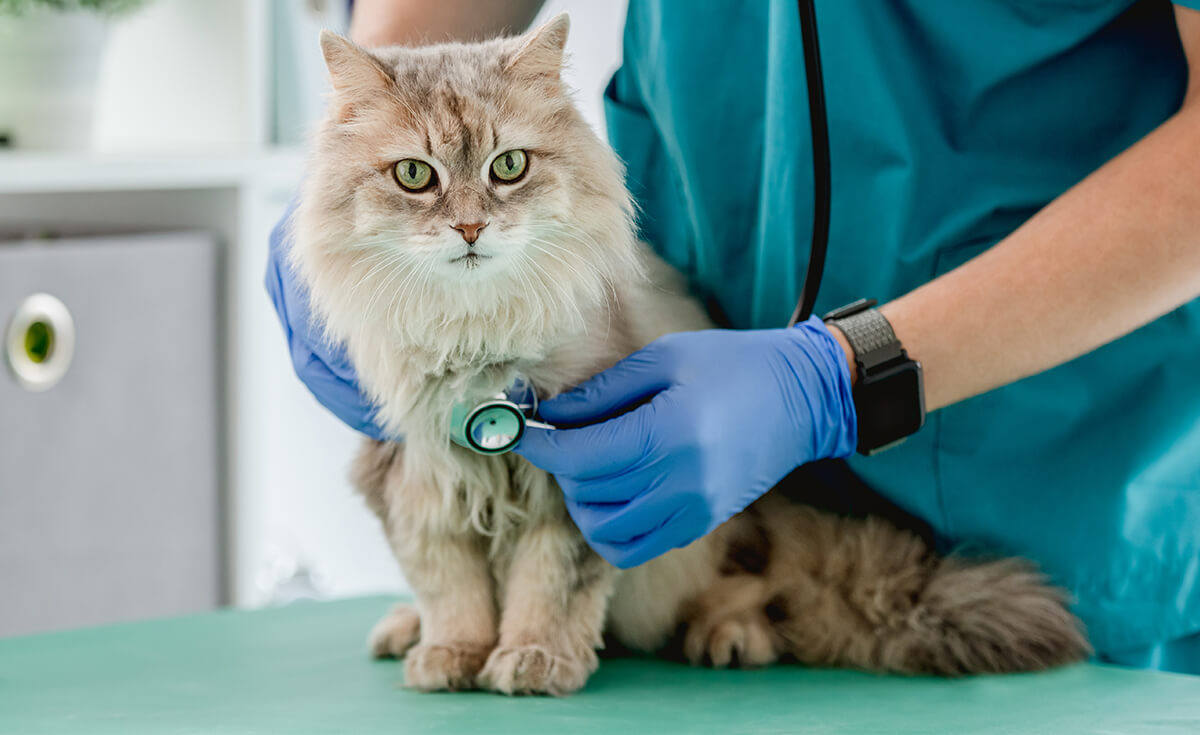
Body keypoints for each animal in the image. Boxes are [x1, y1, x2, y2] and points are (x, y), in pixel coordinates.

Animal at [288, 17, 1089, 696]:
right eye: (414, 176)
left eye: (508, 166)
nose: (470, 228)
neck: (475, 336)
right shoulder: (413, 478)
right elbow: (451, 588)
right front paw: (452, 654)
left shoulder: (575, 484)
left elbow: (549, 586)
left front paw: (534, 658)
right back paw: (404, 630)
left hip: (710, 532)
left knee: (758, 588)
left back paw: (728, 635)